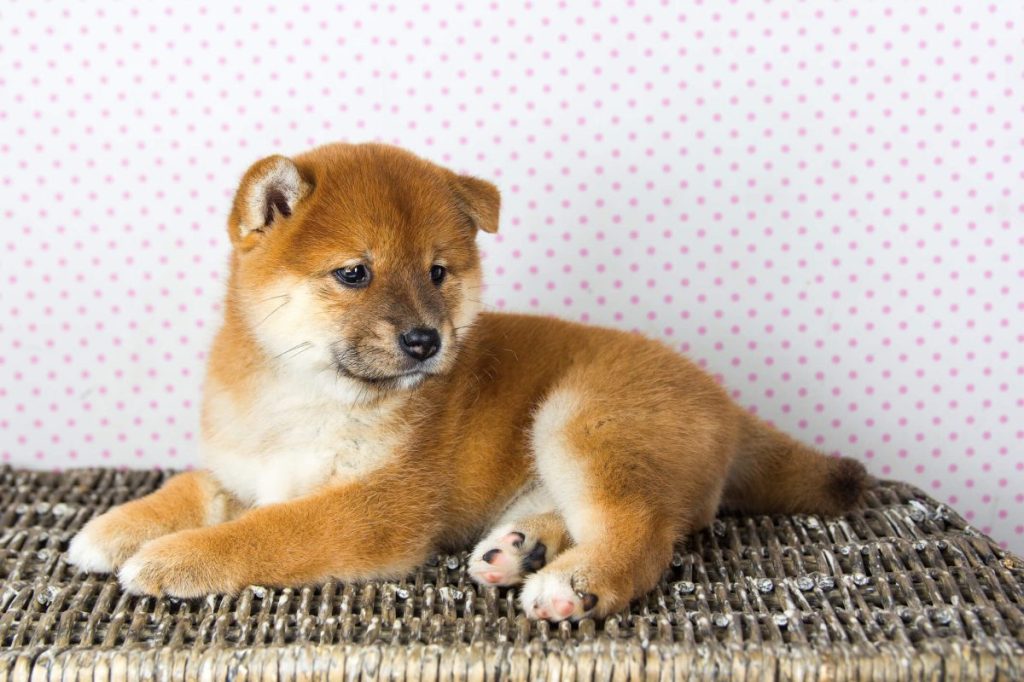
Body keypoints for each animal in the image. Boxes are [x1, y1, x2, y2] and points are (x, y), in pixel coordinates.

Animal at [70, 140, 872, 618]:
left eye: (437, 273)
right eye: (354, 273)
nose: (426, 340)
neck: (303, 398)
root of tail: (729, 406)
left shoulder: (378, 506)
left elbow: (270, 528)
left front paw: (176, 556)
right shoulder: (238, 467)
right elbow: (192, 488)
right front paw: (114, 526)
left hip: (583, 417)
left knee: (644, 532)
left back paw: (573, 582)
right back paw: (520, 550)